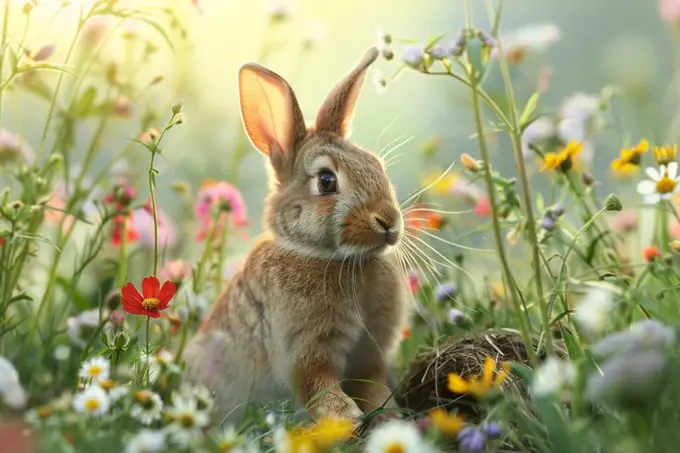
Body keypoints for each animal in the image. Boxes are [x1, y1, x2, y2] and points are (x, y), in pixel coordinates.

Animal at [182, 46, 408, 425]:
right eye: (327, 181)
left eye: (376, 165)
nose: (389, 221)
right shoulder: (306, 348)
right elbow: (317, 382)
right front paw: (344, 418)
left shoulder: (371, 351)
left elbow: (372, 384)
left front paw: (390, 416)